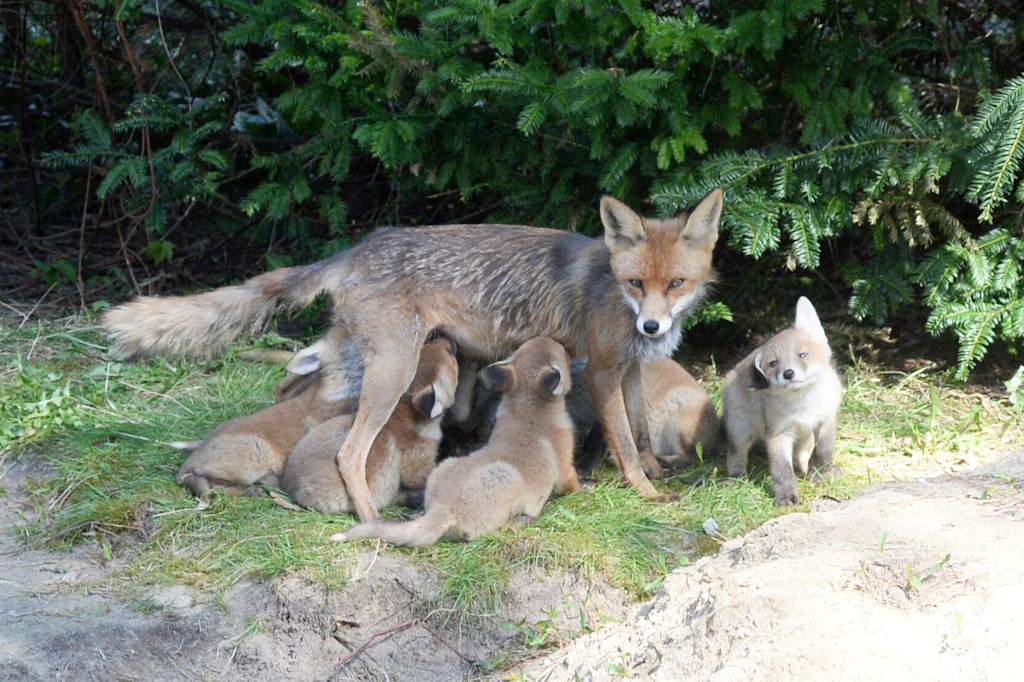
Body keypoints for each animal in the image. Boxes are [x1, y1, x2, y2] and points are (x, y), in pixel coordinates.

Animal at [280, 336, 459, 514]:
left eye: (428, 346)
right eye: (452, 360)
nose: (449, 340)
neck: (406, 415)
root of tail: (289, 486)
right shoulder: (417, 463)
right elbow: (427, 474)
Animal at [332, 337, 579, 547]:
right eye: (564, 356)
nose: (567, 348)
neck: (528, 411)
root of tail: (443, 508)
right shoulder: (564, 467)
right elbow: (571, 484)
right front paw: (584, 488)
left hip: (445, 465)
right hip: (503, 476)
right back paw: (523, 520)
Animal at [720, 296, 842, 506]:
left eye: (803, 355)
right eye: (774, 363)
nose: (788, 373)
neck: (803, 405)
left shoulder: (825, 421)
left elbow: (822, 453)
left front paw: (819, 475)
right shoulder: (778, 435)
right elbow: (783, 471)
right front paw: (786, 496)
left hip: (805, 437)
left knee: (801, 456)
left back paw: (805, 470)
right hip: (739, 431)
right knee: (735, 456)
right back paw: (737, 478)